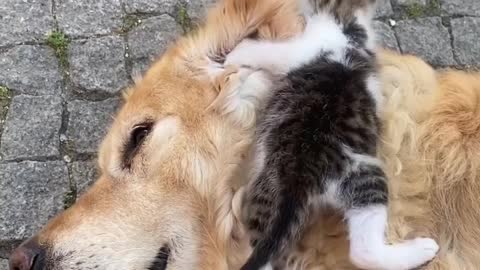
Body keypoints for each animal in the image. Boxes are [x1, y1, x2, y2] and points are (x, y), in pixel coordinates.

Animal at [224, 1, 438, 268]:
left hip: (364, 176)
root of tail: (301, 174)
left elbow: (264, 51)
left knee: (363, 251)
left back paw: (422, 249)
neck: (346, 23)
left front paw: (234, 54)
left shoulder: (299, 49)